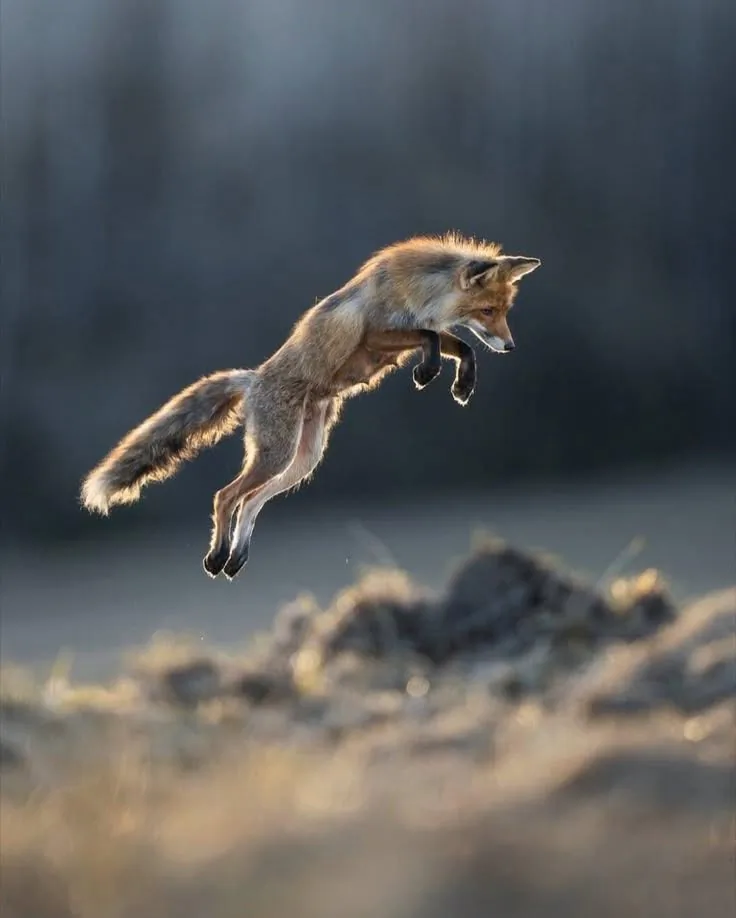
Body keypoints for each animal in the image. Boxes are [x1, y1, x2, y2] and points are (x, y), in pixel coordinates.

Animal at [80, 232, 541, 580]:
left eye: (505, 311)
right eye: (487, 310)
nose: (512, 346)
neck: (418, 293)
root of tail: (253, 379)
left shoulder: (421, 332)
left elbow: (461, 346)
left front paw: (463, 385)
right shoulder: (377, 335)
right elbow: (431, 338)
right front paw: (428, 372)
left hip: (302, 460)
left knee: (251, 502)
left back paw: (235, 559)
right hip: (278, 454)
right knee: (225, 497)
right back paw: (217, 556)